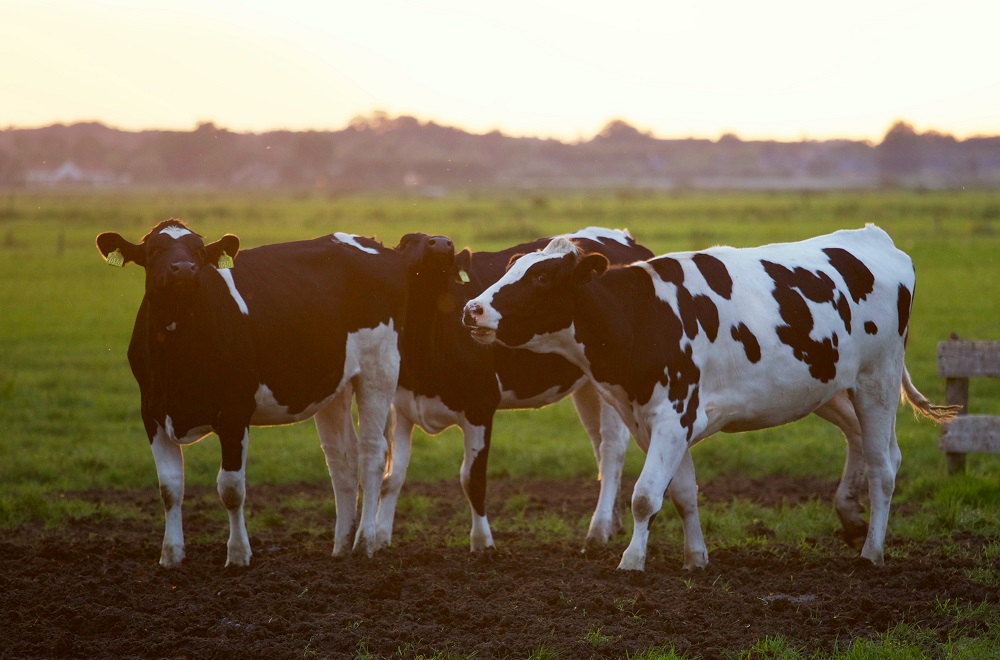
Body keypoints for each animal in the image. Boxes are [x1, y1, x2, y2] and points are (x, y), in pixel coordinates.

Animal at [94, 220, 406, 568]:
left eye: (199, 251)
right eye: (154, 250)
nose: (184, 269)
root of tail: (373, 243)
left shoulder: (234, 412)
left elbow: (231, 488)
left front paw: (238, 555)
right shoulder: (152, 413)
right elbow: (169, 487)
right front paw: (171, 556)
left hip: (379, 369)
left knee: (372, 454)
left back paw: (364, 543)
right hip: (335, 385)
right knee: (342, 459)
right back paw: (340, 546)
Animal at [378, 227, 652, 552]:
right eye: (407, 241)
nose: (442, 244)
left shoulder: (480, 406)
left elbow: (472, 479)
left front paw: (482, 544)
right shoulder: (401, 407)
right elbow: (392, 476)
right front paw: (376, 539)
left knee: (611, 449)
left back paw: (597, 531)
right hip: (588, 386)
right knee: (598, 445)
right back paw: (613, 522)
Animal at [462, 224, 960, 568]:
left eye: (542, 278)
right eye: (511, 269)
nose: (472, 309)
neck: (642, 315)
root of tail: (874, 238)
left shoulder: (673, 415)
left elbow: (645, 496)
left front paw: (631, 561)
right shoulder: (656, 421)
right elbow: (682, 493)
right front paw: (695, 557)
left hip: (877, 380)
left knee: (883, 467)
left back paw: (872, 551)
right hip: (830, 387)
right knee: (867, 443)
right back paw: (851, 518)